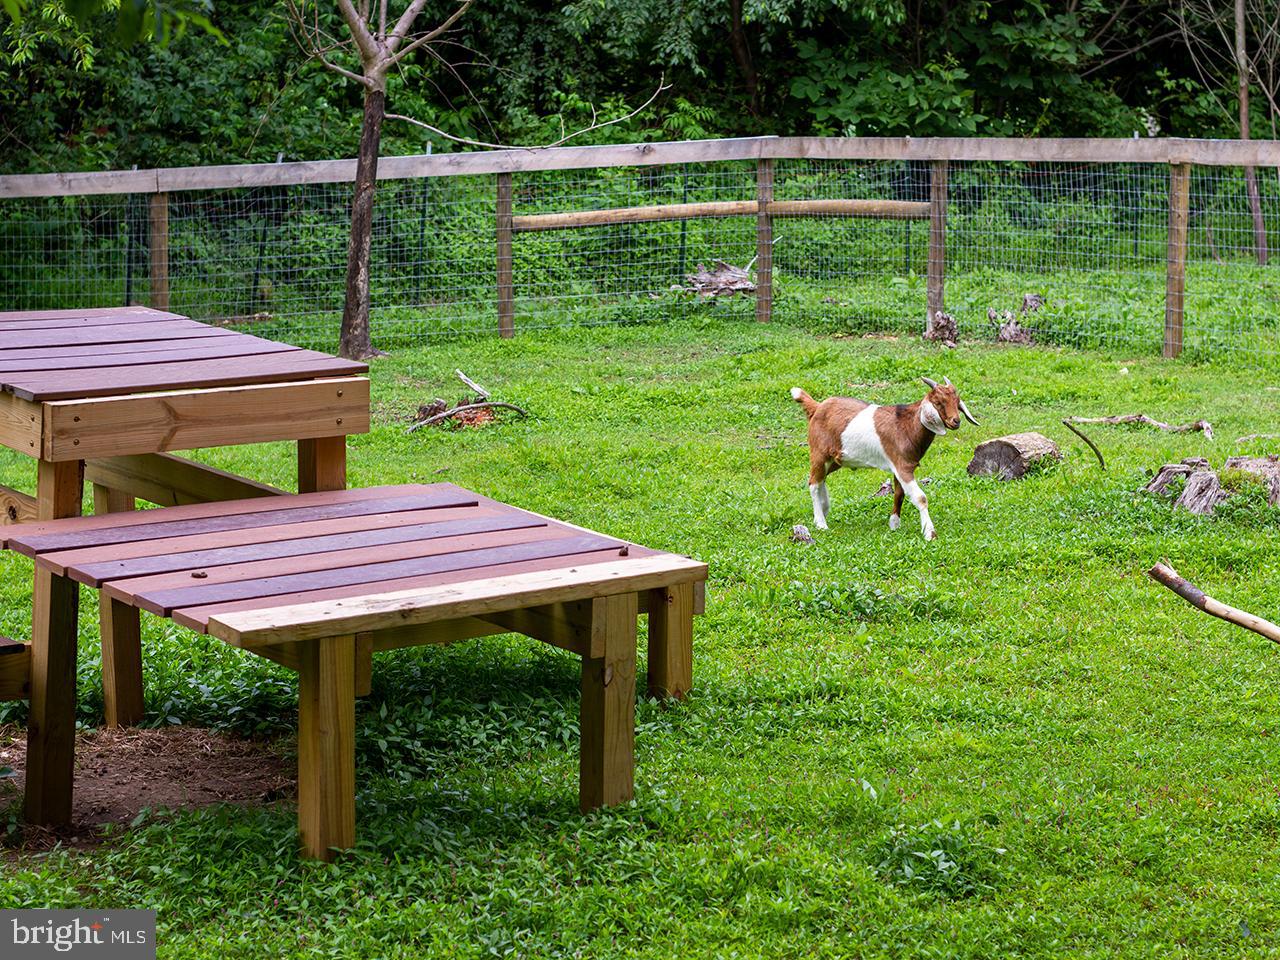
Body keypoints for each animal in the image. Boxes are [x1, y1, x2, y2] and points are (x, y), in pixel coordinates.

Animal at [790, 376, 979, 540]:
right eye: (938, 403)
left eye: (957, 402)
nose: (956, 421)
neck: (907, 426)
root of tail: (817, 407)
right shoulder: (903, 467)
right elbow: (920, 498)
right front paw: (930, 534)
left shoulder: (899, 467)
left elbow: (899, 494)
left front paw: (894, 524)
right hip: (819, 453)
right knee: (814, 483)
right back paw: (821, 522)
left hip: (836, 459)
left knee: (819, 479)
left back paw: (825, 508)